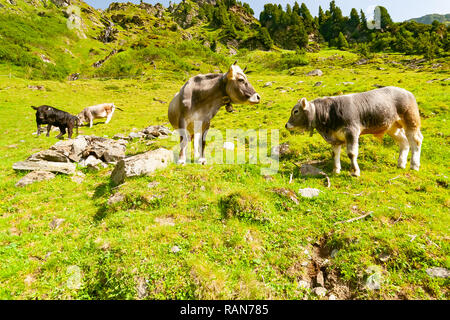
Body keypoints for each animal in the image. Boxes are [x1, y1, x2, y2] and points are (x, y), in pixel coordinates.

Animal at [286, 87, 424, 178]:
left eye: (296, 111)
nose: (286, 125)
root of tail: (407, 92)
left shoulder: (352, 132)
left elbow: (351, 153)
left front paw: (355, 171)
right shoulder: (335, 138)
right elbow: (335, 154)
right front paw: (336, 170)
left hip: (411, 120)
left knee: (416, 140)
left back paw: (414, 165)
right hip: (392, 127)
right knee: (404, 142)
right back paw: (401, 163)